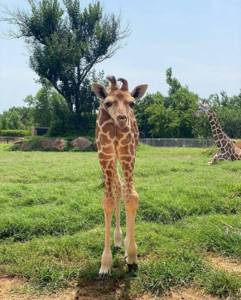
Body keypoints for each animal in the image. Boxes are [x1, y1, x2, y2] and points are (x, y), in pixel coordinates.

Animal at [91, 75, 148, 276]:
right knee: (117, 187)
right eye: (108, 103)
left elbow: (131, 196)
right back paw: (117, 240)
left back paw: (123, 243)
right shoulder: (105, 156)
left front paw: (131, 256)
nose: (122, 119)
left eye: (132, 103)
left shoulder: (128, 154)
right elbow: (108, 201)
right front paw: (105, 265)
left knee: (122, 188)